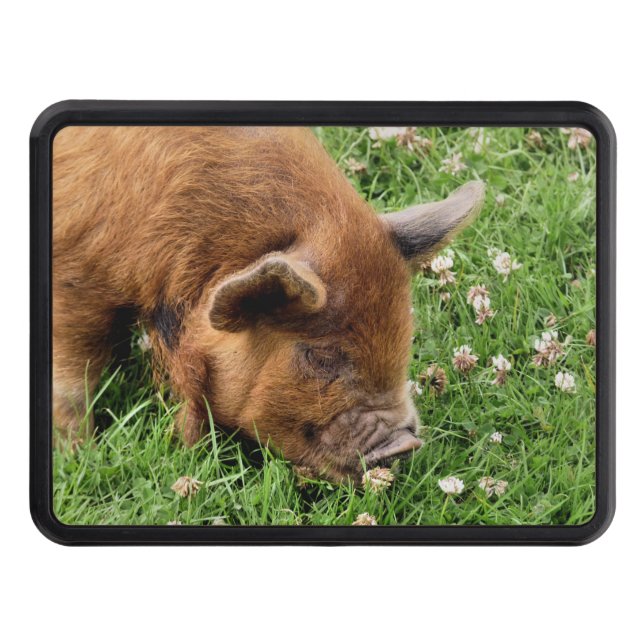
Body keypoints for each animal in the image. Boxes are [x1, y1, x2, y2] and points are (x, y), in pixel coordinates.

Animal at [52, 126, 484, 481]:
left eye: (404, 339)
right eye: (320, 356)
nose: (405, 444)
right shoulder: (74, 276)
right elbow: (72, 382)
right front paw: (78, 453)